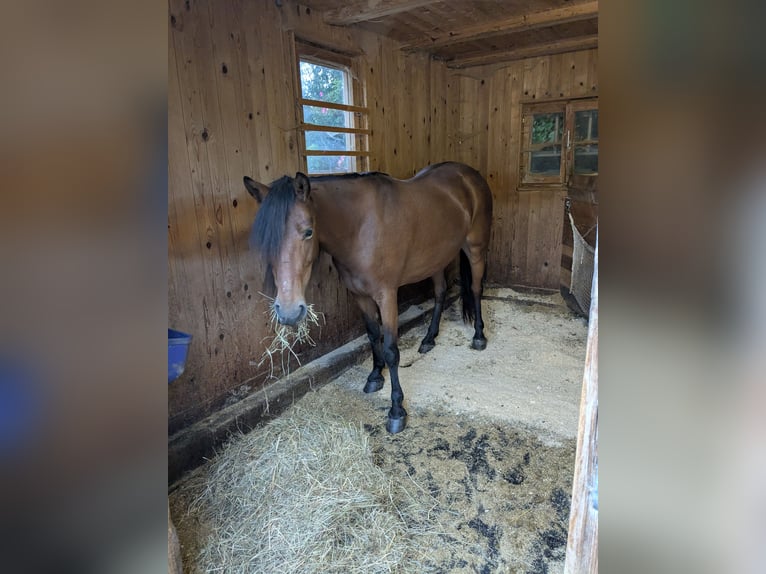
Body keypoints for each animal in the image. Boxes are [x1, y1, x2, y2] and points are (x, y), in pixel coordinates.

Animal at [243, 161, 493, 434]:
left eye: (308, 232)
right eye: (265, 241)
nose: (289, 311)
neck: (360, 227)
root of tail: (469, 174)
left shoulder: (387, 295)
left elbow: (391, 350)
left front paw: (397, 411)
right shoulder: (360, 296)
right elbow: (373, 335)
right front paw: (375, 377)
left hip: (476, 250)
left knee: (476, 290)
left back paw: (479, 336)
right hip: (436, 259)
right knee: (440, 293)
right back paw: (429, 339)